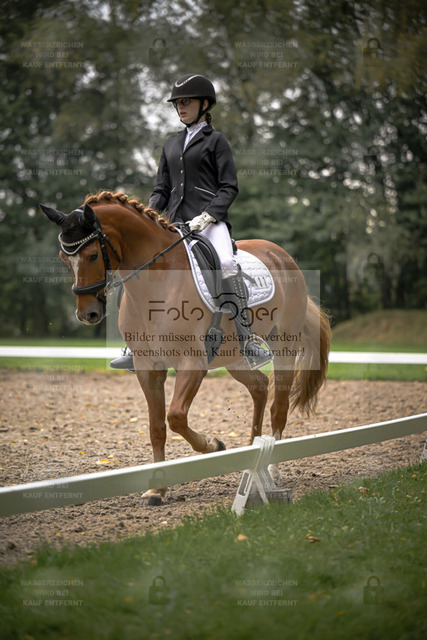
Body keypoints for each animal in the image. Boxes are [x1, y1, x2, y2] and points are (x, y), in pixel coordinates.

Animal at [40, 190, 331, 505]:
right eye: (64, 259)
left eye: (93, 255)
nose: (87, 314)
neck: (158, 281)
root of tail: (281, 254)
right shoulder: (147, 367)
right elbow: (157, 427)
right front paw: (156, 489)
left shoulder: (192, 364)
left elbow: (176, 416)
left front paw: (213, 444)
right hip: (233, 358)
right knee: (260, 387)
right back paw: (252, 457)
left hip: (284, 346)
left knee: (279, 406)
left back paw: (272, 470)